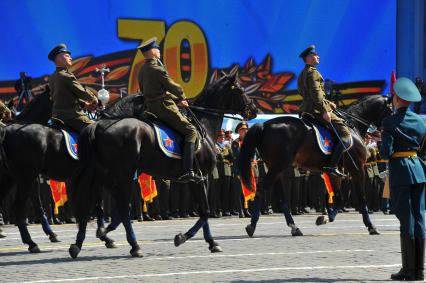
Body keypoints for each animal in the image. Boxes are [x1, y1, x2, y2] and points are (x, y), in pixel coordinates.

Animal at [69, 72, 256, 258]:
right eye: (240, 89)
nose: (253, 109)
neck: (204, 125)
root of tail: (97, 125)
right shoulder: (202, 177)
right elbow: (205, 211)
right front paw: (193, 239)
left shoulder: (193, 180)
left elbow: (203, 210)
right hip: (123, 174)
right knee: (120, 208)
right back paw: (134, 245)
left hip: (103, 174)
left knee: (95, 204)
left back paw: (81, 243)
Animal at [238, 95, 392, 237]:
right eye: (391, 110)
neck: (353, 127)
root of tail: (264, 125)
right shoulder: (357, 169)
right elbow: (360, 198)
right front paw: (371, 226)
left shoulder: (335, 172)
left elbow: (339, 198)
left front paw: (325, 218)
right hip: (278, 167)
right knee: (262, 189)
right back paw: (252, 226)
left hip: (276, 168)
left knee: (281, 198)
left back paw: (294, 227)